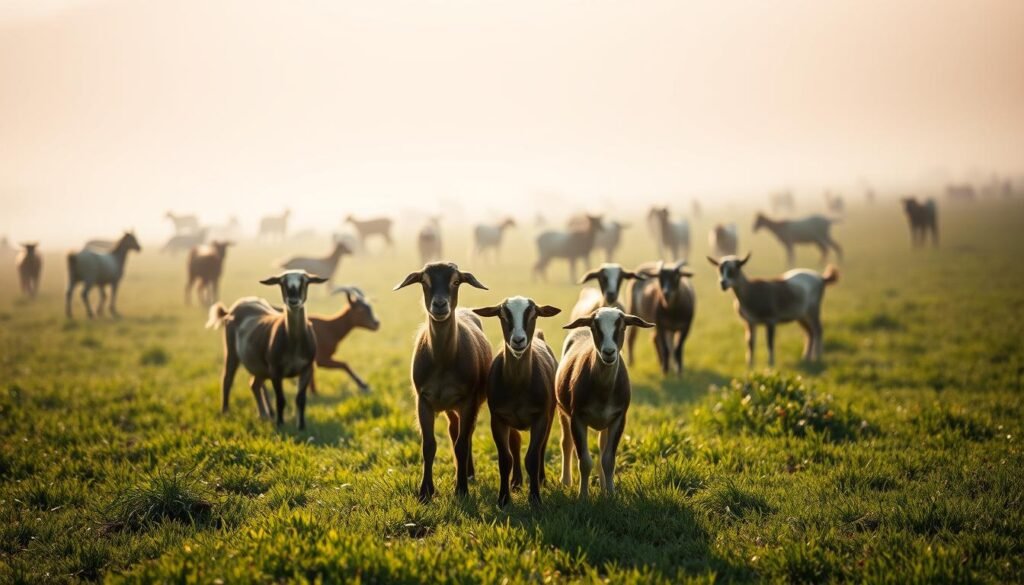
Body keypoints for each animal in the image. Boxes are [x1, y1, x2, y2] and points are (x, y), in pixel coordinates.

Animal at [206, 270, 327, 428]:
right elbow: (281, 399)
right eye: (282, 283)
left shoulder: (307, 368)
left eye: (304, 282)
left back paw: (263, 415)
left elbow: (301, 399)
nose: (293, 301)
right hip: (232, 350)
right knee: (227, 379)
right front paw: (280, 424)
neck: (293, 342)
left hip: (259, 365)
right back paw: (226, 412)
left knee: (254, 385)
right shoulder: (276, 370)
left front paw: (301, 427)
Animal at [394, 262, 491, 500]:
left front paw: (462, 490)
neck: (442, 362)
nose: (439, 305)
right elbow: (429, 445)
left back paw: (468, 474)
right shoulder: (423, 400)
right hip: (449, 407)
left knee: (466, 436)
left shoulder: (468, 400)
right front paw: (425, 492)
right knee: (453, 431)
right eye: (424, 281)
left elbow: (462, 444)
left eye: (456, 281)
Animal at [472, 296, 561, 506]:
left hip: (550, 412)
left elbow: (533, 457)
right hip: (513, 420)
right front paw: (503, 499)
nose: (518, 340)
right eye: (502, 314)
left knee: (542, 446)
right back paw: (516, 482)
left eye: (534, 314)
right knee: (516, 444)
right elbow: (505, 459)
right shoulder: (498, 418)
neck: (518, 387)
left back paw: (541, 479)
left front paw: (535, 499)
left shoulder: (540, 417)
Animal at [556, 308, 653, 497]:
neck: (603, 391)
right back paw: (565, 482)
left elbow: (608, 460)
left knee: (602, 449)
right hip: (562, 411)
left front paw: (611, 495)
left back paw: (602, 487)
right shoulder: (577, 417)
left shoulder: (619, 418)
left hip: (604, 422)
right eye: (595, 327)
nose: (609, 352)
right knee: (566, 443)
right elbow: (585, 461)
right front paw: (583, 497)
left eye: (622, 327)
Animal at [708, 253, 838, 367]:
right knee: (809, 332)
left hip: (813, 309)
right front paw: (750, 365)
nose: (723, 283)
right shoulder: (750, 321)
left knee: (818, 330)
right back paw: (806, 358)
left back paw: (818, 358)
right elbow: (750, 342)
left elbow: (769, 342)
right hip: (801, 314)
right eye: (719, 269)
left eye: (735, 269)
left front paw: (771, 364)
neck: (751, 292)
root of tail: (822, 278)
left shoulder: (771, 319)